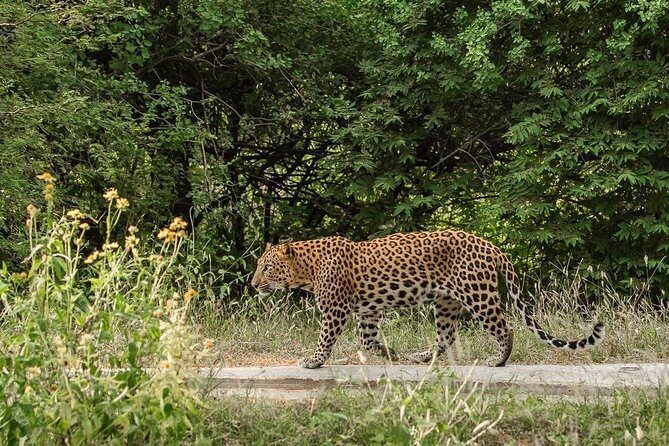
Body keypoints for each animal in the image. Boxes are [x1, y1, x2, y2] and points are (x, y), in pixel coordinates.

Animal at [250, 230, 604, 369]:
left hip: (478, 296)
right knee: (445, 337)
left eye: (266, 267)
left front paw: (313, 361)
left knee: (506, 328)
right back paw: (421, 357)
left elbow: (324, 339)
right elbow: (369, 342)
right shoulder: (368, 312)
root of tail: (491, 244)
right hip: (446, 303)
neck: (306, 269)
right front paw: (393, 355)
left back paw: (499, 360)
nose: (253, 284)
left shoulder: (336, 310)